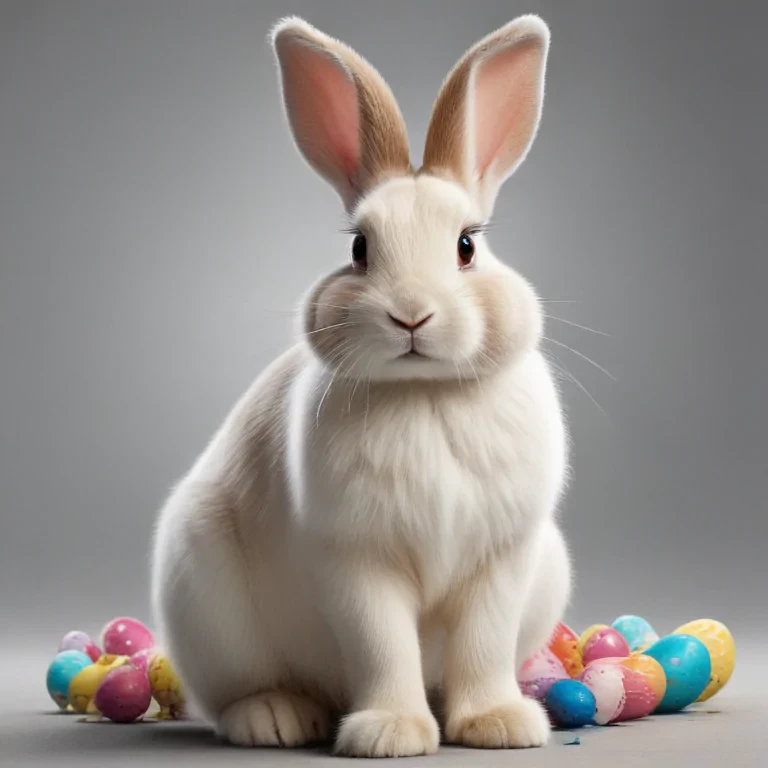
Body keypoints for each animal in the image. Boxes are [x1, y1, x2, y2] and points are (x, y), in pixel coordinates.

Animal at [150, 13, 572, 758]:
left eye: (468, 245)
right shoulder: (357, 561)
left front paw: (498, 725)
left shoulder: (501, 561)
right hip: (205, 592)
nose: (411, 314)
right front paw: (391, 734)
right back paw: (276, 718)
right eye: (359, 249)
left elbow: (484, 644)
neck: (424, 392)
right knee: (239, 692)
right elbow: (382, 646)